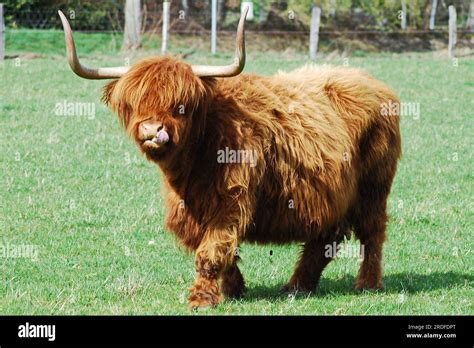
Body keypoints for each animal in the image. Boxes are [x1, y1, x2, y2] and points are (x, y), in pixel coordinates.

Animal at [58, 8, 400, 308]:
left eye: (180, 105)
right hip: (332, 194)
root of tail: (373, 83)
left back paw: (367, 284)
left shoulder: (231, 198)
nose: (152, 130)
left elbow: (212, 250)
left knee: (372, 232)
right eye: (134, 103)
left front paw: (201, 298)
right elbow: (220, 249)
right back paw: (297, 286)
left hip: (373, 187)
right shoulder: (191, 210)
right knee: (325, 238)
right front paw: (233, 288)